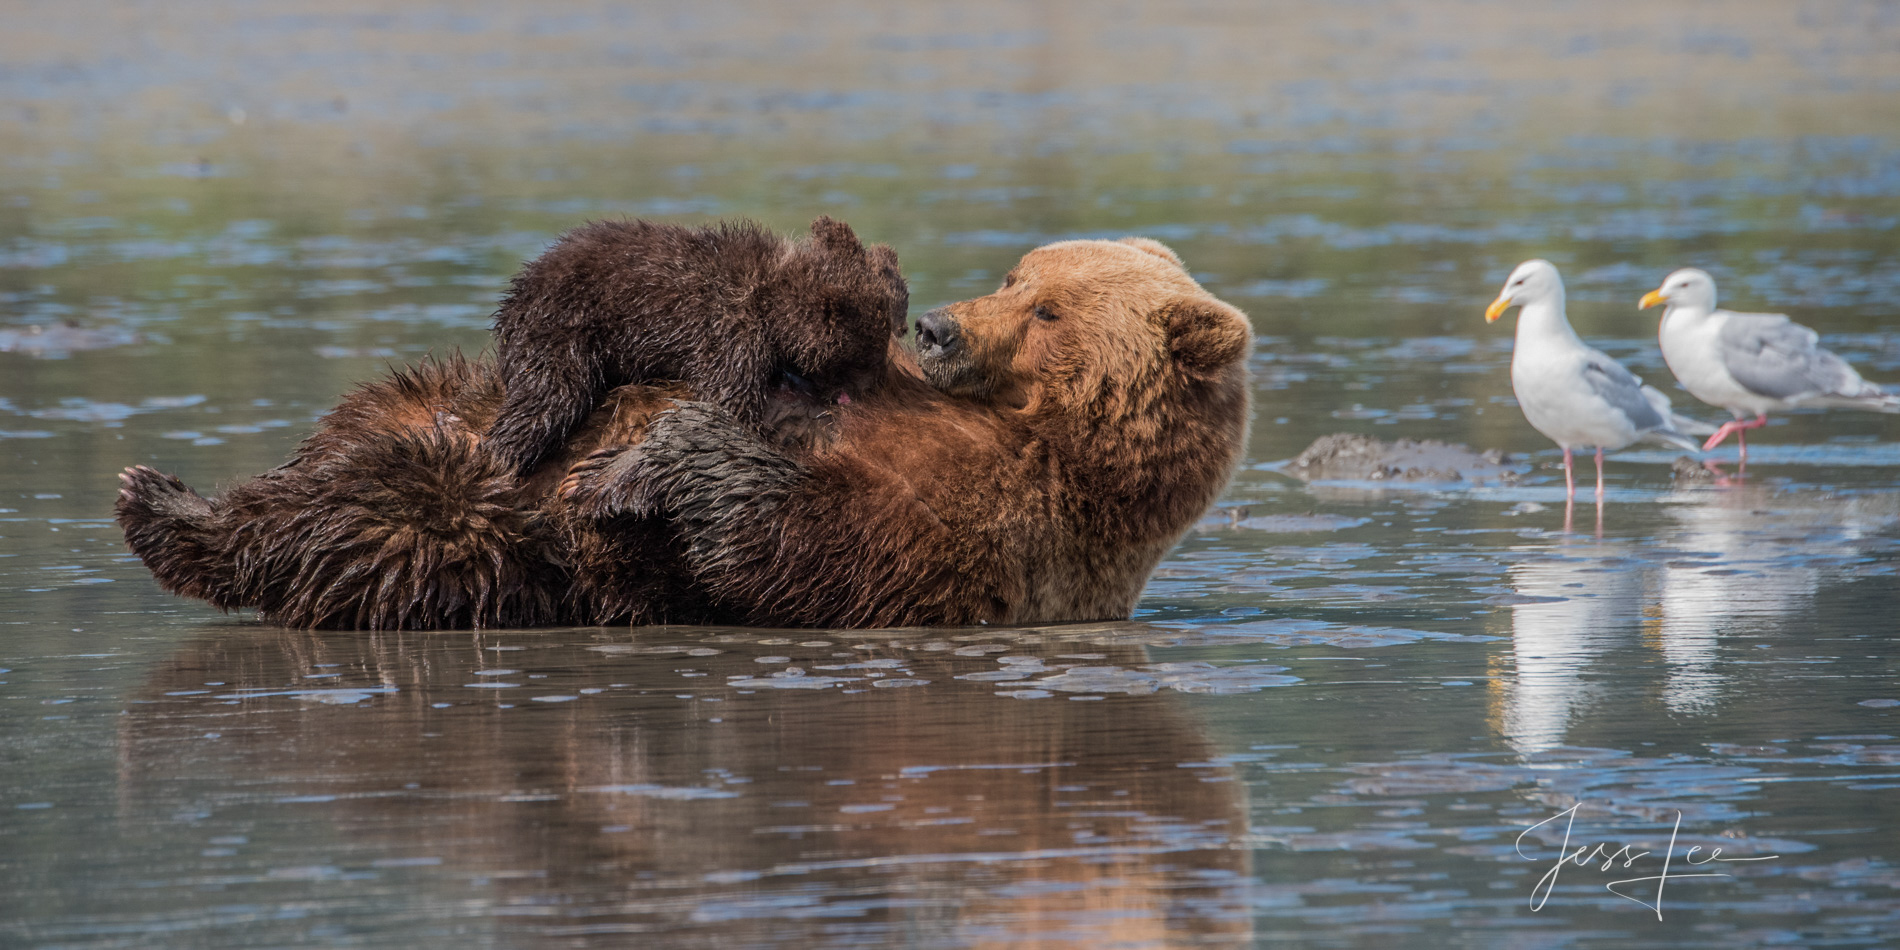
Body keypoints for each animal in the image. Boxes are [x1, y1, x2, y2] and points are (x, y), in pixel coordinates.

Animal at [486, 215, 908, 475]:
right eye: (864, 358)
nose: (871, 390)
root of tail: (513, 301)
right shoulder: (728, 331)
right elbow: (729, 400)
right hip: (564, 329)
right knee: (549, 396)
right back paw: (501, 456)